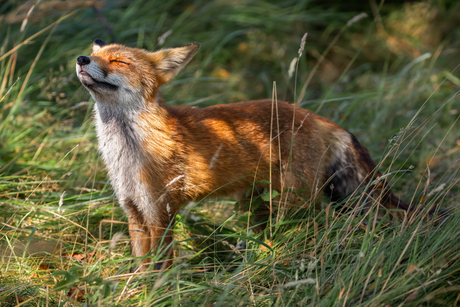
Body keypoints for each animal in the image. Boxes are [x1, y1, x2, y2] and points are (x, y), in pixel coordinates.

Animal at [75, 39, 410, 274]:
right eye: (94, 54)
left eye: (119, 60)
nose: (81, 58)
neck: (128, 151)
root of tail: (316, 116)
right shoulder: (134, 211)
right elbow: (141, 263)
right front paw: (137, 289)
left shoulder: (161, 212)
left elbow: (159, 265)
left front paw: (157, 292)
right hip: (252, 203)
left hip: (296, 202)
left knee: (314, 228)